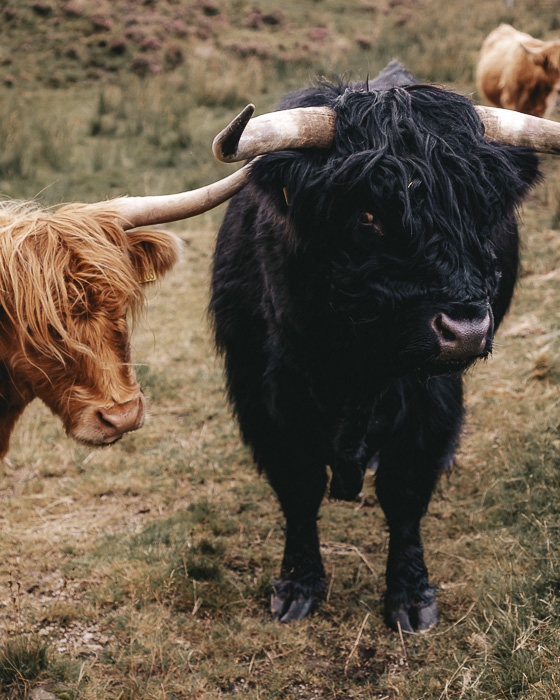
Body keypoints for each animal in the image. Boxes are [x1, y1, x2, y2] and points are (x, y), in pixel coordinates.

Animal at [210, 65, 548, 632]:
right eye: (368, 215)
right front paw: (298, 586)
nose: (465, 329)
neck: (351, 362)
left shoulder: (430, 395)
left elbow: (404, 490)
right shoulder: (264, 391)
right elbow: (298, 486)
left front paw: (411, 598)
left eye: (481, 210)